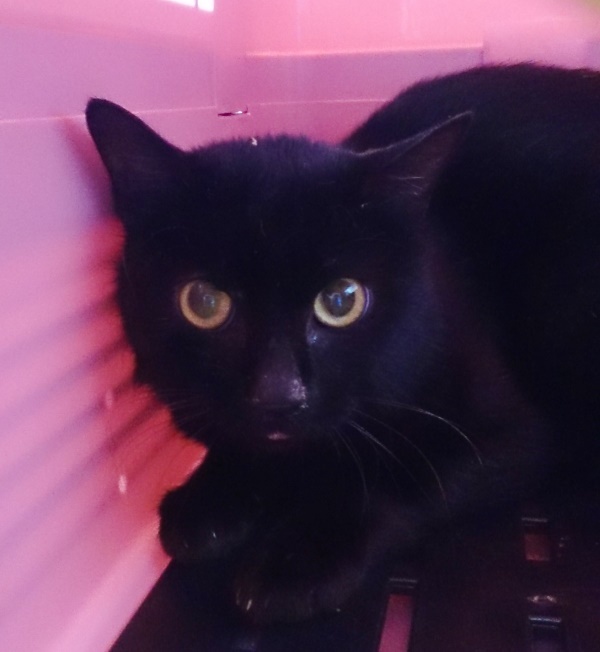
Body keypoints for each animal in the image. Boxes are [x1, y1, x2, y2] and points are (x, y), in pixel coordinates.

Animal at [85, 63, 600, 624]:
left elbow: (395, 479)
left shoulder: (508, 432)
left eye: (342, 300)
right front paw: (211, 498)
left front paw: (298, 559)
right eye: (202, 301)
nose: (279, 394)